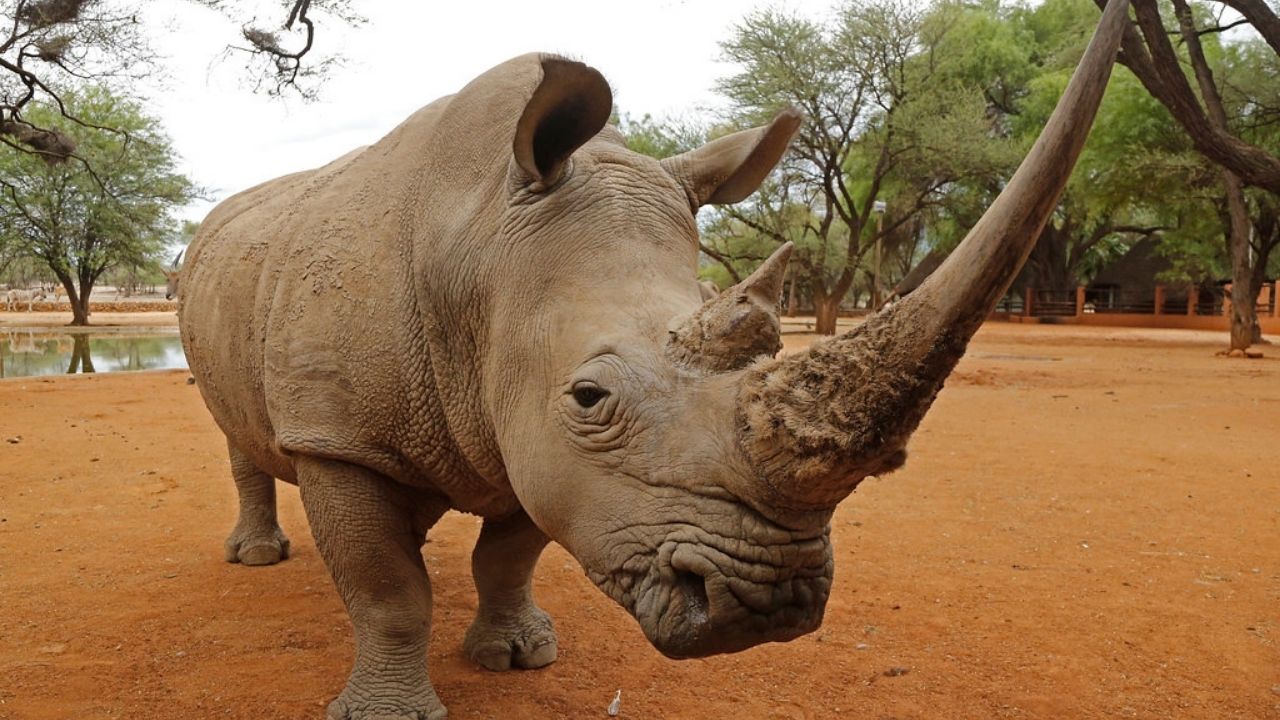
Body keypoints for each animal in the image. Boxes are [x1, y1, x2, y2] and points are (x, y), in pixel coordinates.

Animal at [178, 1, 1128, 716]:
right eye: (590, 396)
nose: (765, 605)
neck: (479, 251)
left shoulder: (523, 427)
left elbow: (508, 554)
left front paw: (518, 658)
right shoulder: (341, 435)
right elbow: (387, 590)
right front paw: (388, 714)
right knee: (235, 432)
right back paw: (256, 558)